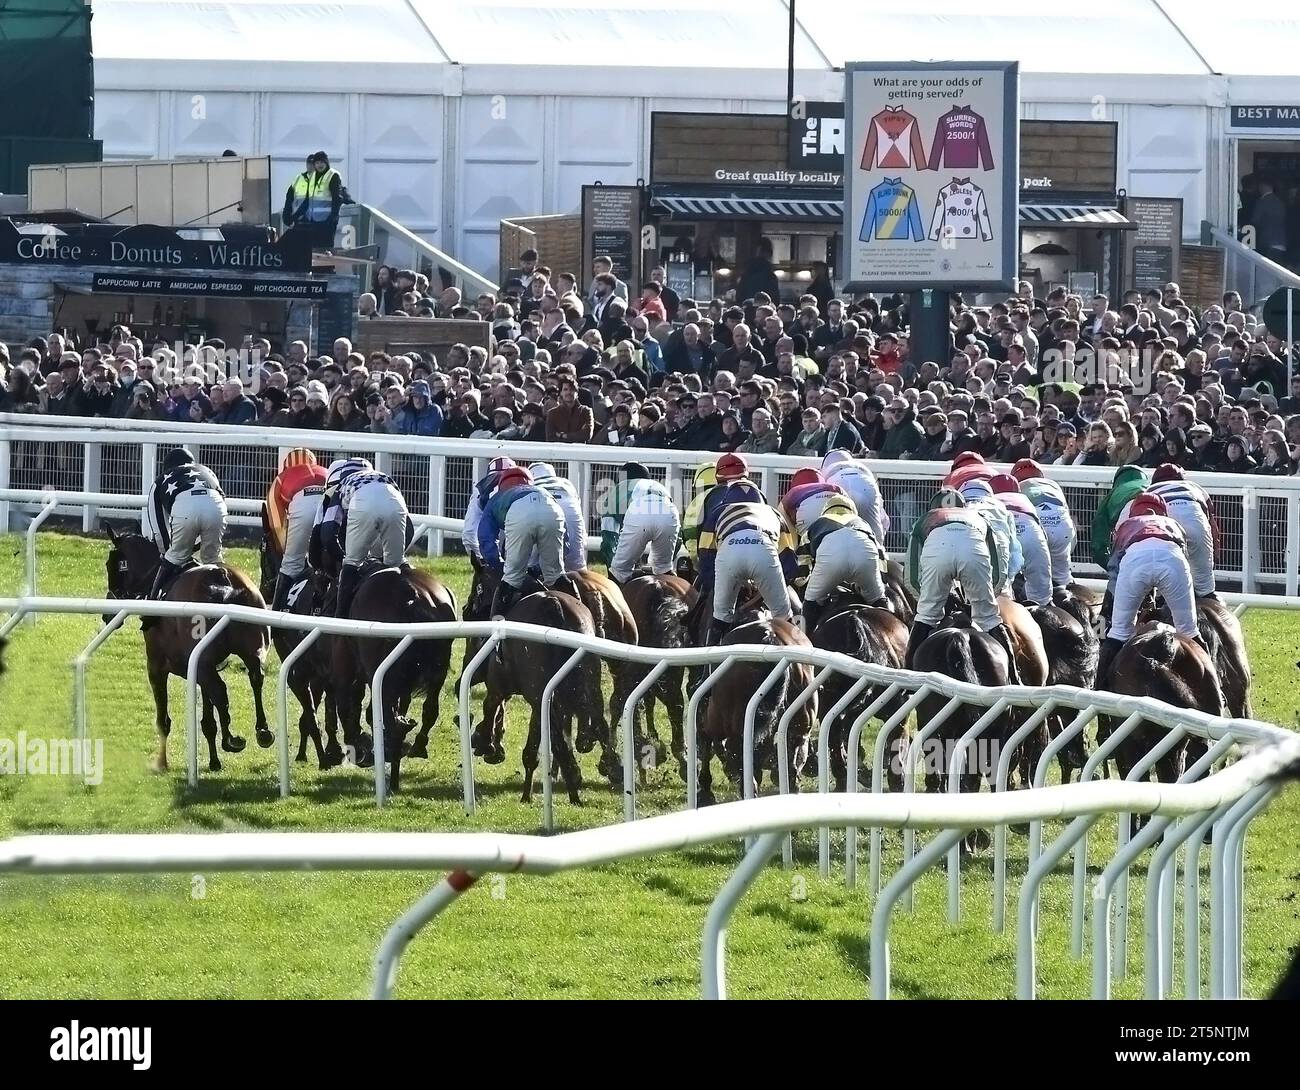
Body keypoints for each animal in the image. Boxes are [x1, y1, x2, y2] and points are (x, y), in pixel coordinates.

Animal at [106, 528, 271, 775]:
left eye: (110, 565)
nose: (107, 613)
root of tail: (225, 582)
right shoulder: (202, 669)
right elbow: (208, 720)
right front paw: (214, 761)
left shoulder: (157, 666)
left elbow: (163, 720)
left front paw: (161, 763)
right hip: (251, 648)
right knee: (255, 676)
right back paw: (262, 731)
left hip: (202, 662)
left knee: (221, 691)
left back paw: (231, 740)